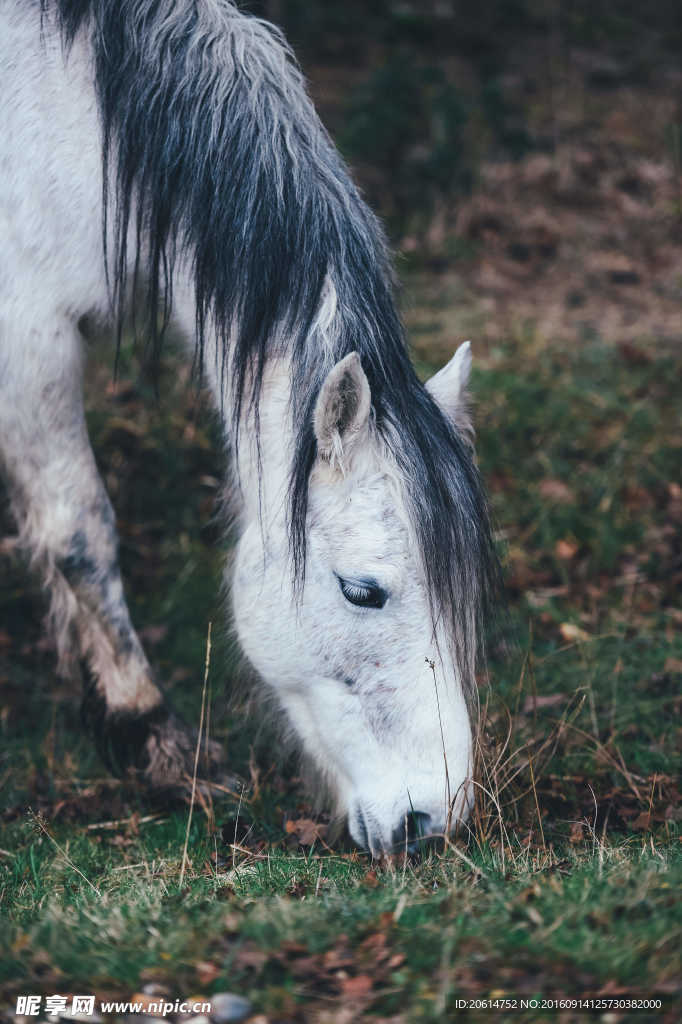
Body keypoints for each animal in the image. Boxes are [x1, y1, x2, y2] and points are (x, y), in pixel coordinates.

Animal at [1, 0, 499, 856]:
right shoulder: (28, 333)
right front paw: (153, 738)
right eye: (362, 591)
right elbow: (79, 533)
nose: (432, 820)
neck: (71, 110)